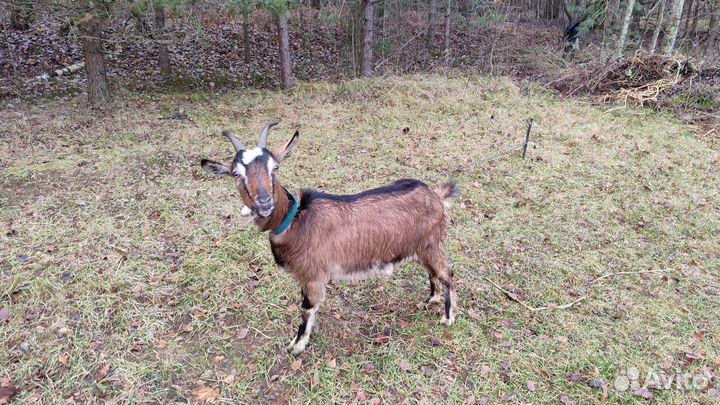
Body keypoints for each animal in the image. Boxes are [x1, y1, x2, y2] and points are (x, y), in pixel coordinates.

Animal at [201, 122, 462, 354]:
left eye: (275, 167)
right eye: (236, 174)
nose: (265, 203)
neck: (295, 219)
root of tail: (437, 196)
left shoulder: (314, 275)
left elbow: (307, 308)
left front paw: (296, 346)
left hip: (432, 244)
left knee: (446, 273)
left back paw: (448, 317)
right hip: (421, 248)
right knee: (433, 272)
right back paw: (432, 298)